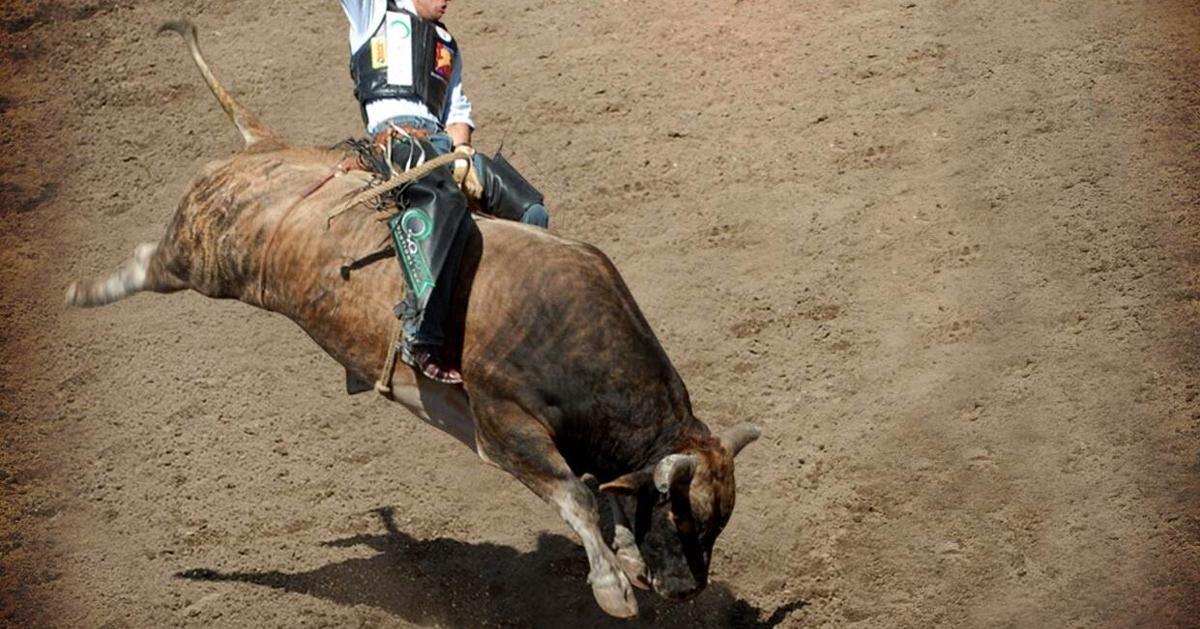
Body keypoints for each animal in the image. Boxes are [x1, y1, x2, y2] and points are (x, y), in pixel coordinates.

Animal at [66, 21, 760, 618]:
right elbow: (578, 498)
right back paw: (82, 290)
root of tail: (266, 146)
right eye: (678, 514)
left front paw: (625, 560)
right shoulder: (506, 424)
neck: (567, 332)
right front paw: (613, 587)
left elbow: (595, 494)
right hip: (206, 258)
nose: (687, 590)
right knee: (150, 263)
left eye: (717, 522)